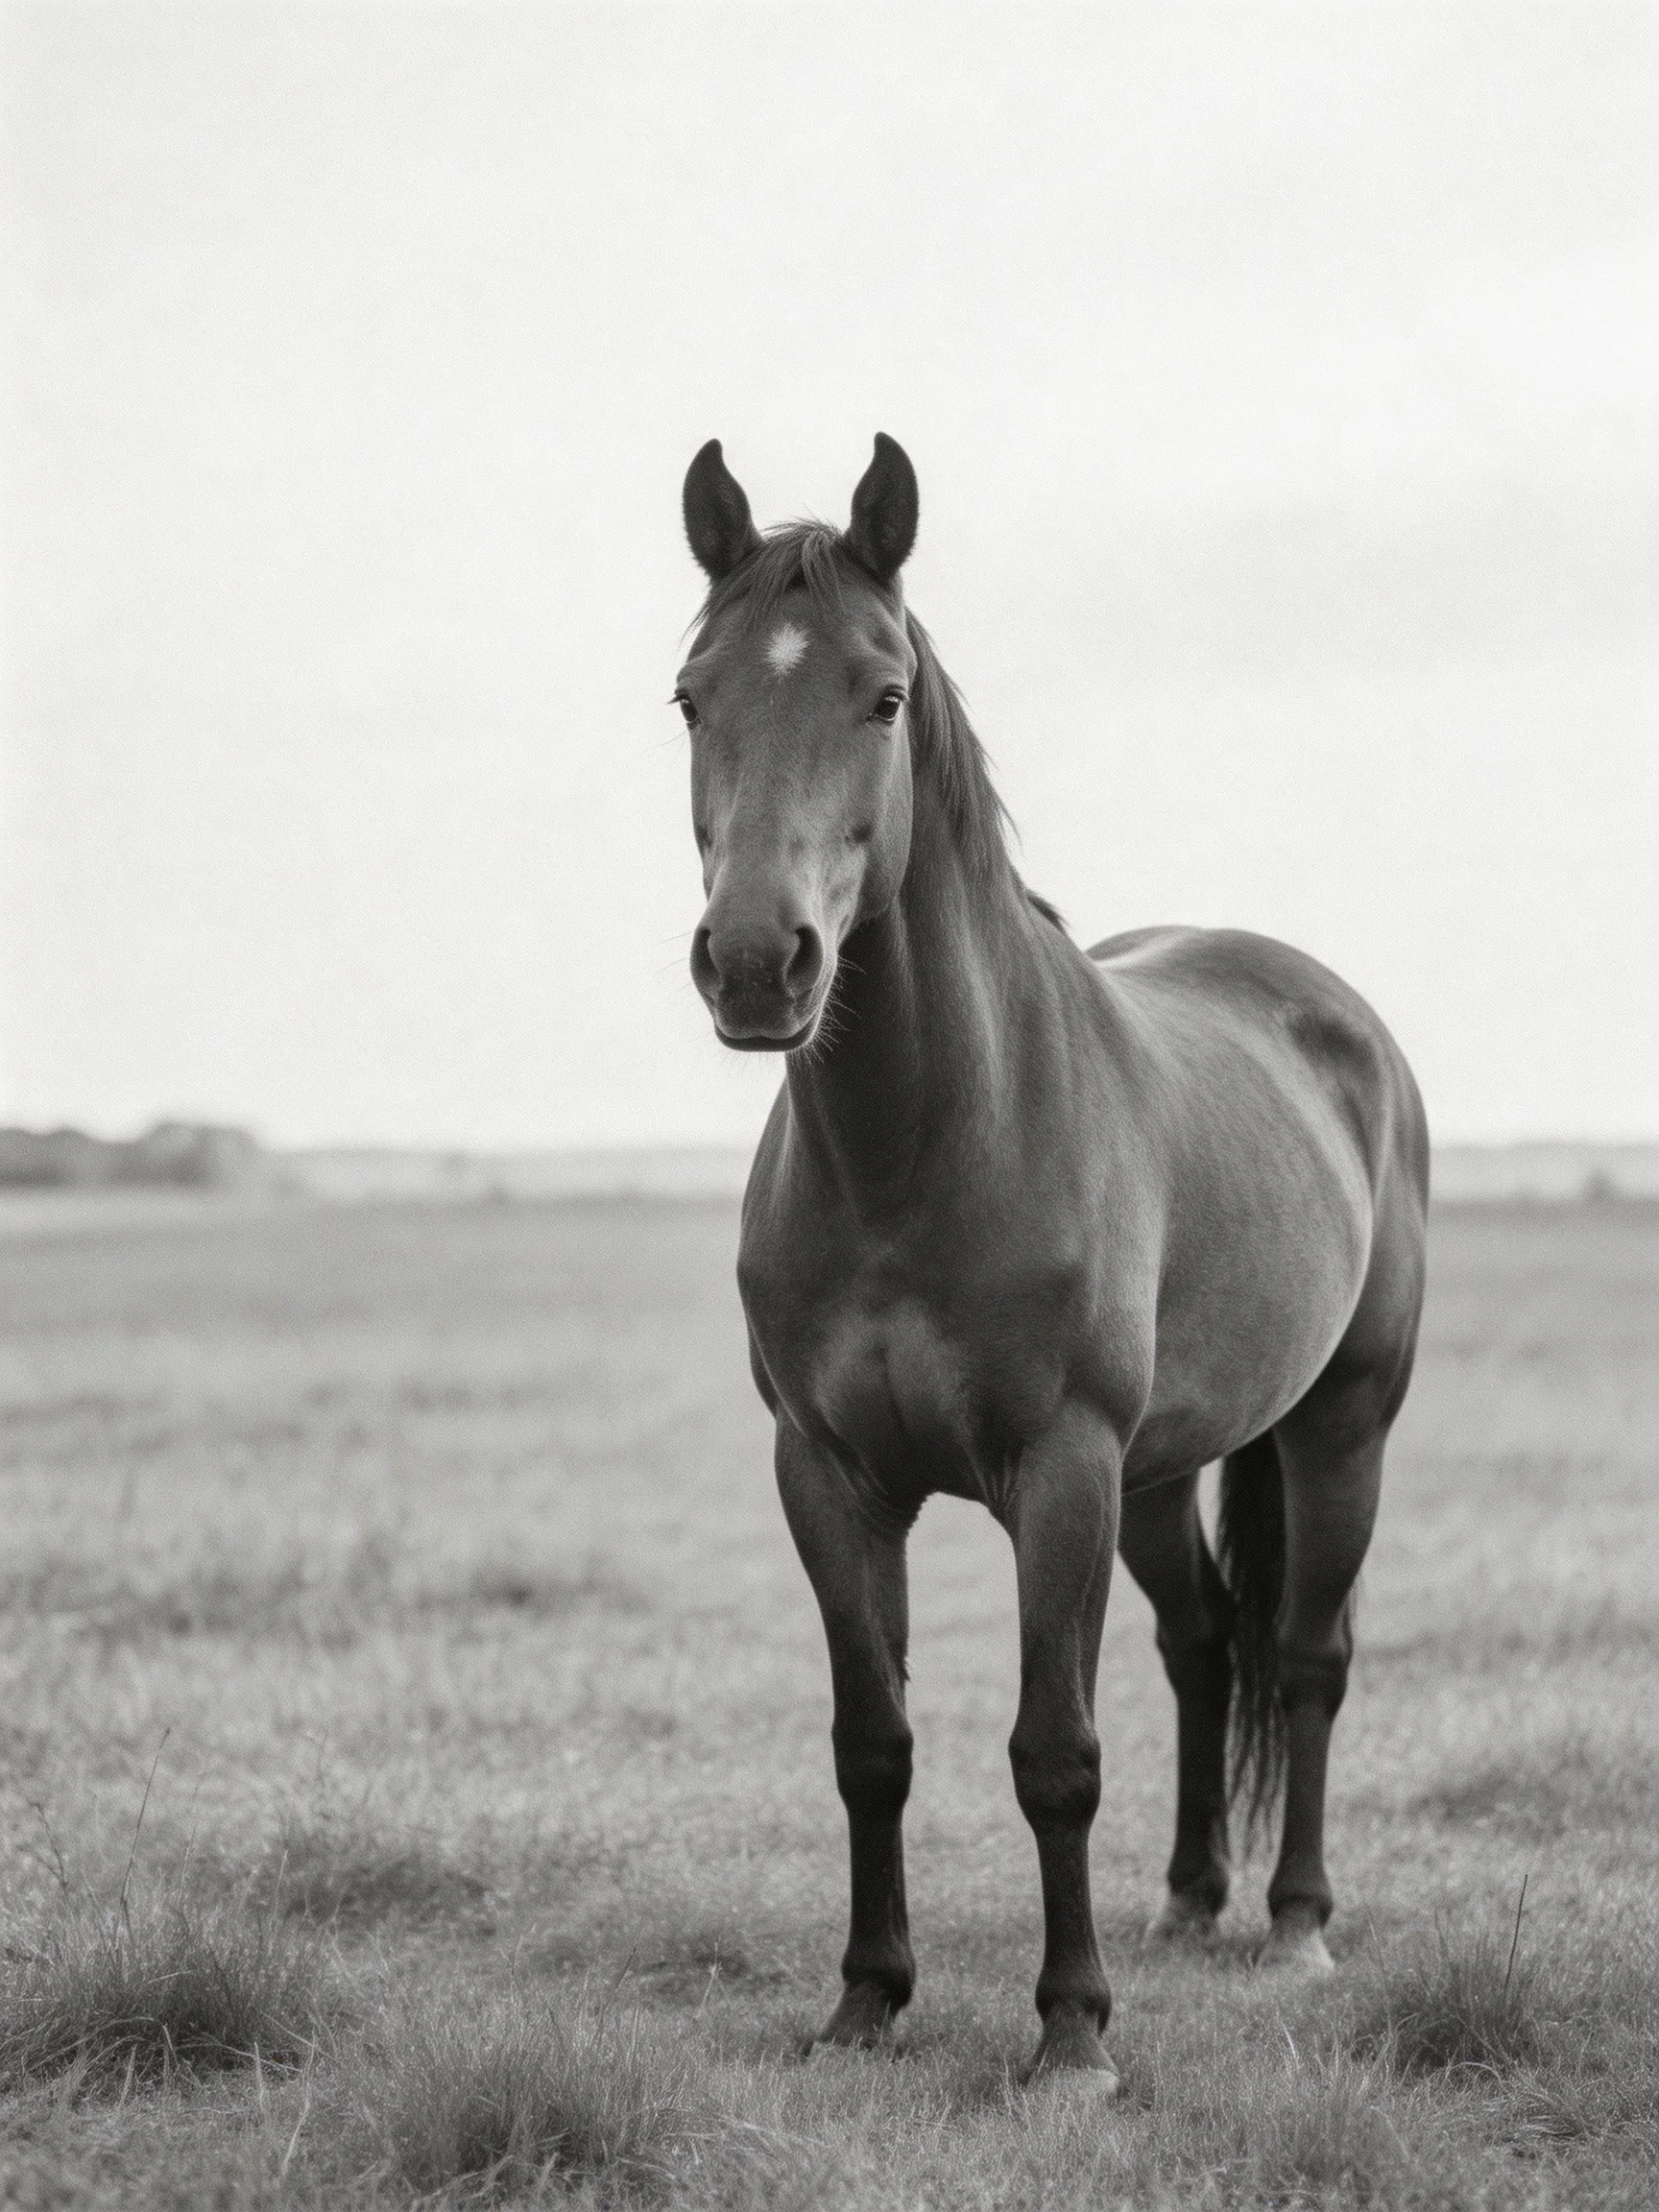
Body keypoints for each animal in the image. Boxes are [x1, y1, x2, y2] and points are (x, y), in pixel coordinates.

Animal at [673, 434, 1428, 2085]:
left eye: (885, 695)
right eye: (690, 696)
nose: (757, 964)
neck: (923, 1145)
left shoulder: (1061, 1469)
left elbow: (1054, 1752)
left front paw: (1072, 2034)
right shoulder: (829, 1476)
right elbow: (873, 1743)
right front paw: (866, 2000)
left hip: (1338, 1430)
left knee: (1306, 1655)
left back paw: (1295, 1923)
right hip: (1159, 1475)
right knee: (1205, 1648)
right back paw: (1190, 1901)